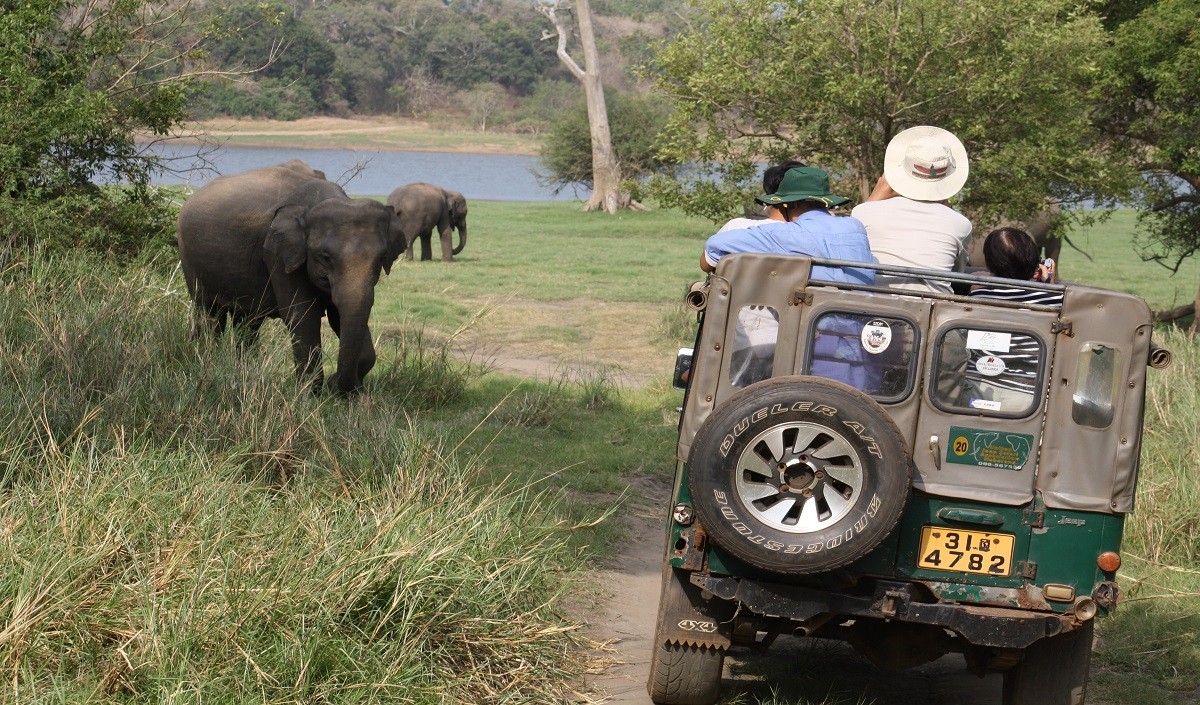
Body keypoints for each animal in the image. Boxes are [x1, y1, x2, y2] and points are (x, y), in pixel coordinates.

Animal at [176, 160, 406, 395]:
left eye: (382, 258)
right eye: (325, 257)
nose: (334, 382)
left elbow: (339, 315)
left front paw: (348, 391)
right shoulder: (278, 255)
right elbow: (302, 315)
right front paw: (309, 394)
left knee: (247, 321)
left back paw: (242, 371)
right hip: (189, 258)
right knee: (208, 312)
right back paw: (204, 362)